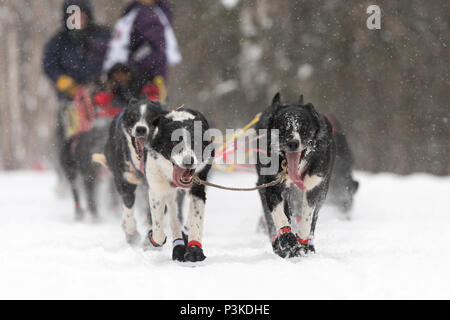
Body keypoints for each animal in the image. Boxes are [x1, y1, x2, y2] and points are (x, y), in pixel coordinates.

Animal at [103, 102, 213, 262]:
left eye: (196, 142)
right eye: (174, 141)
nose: (189, 161)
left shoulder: (198, 187)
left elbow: (196, 220)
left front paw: (194, 250)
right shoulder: (156, 188)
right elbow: (158, 229)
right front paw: (153, 239)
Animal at [256, 92, 334, 258]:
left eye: (304, 127)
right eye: (281, 126)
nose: (293, 143)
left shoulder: (313, 188)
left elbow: (306, 218)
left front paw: (302, 243)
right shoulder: (272, 187)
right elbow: (280, 217)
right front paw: (288, 241)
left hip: (322, 193)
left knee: (313, 219)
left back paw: (308, 245)